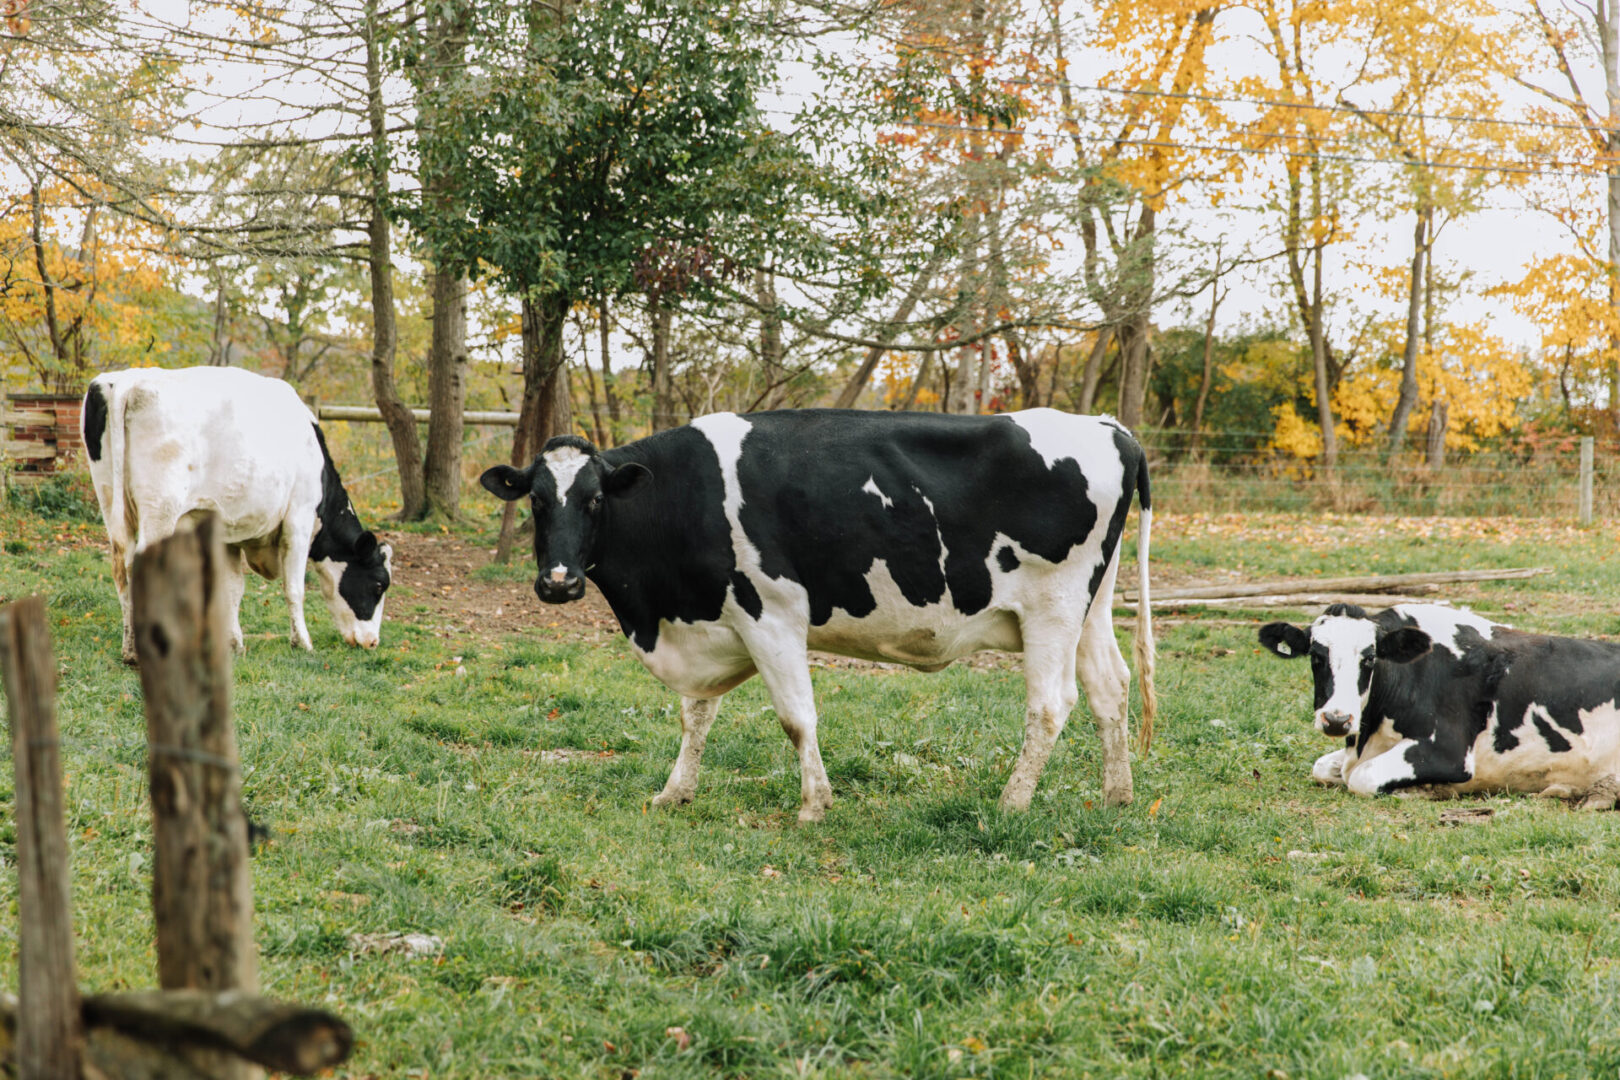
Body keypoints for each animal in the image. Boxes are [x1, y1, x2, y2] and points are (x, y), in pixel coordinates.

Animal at [82, 367, 395, 663]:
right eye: (380, 584)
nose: (372, 642)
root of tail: (129, 380)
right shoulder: (299, 519)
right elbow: (295, 588)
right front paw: (303, 643)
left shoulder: (227, 532)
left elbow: (232, 588)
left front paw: (235, 644)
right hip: (161, 509)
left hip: (110, 500)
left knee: (122, 566)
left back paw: (130, 650)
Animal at [479, 404, 1153, 819]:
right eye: (537, 501)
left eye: (595, 500)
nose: (558, 582)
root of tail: (1111, 428)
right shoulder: (710, 619)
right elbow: (696, 716)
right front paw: (675, 794)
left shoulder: (771, 616)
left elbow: (796, 717)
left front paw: (813, 805)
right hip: (1091, 607)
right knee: (1110, 687)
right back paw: (1117, 795)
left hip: (1053, 607)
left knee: (1051, 705)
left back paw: (1011, 804)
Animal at [1257, 605, 1620, 806]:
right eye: (1316, 657)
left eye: (1370, 658)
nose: (1336, 720)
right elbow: (1320, 767)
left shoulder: (1448, 750)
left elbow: (1362, 777)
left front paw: (1429, 789)